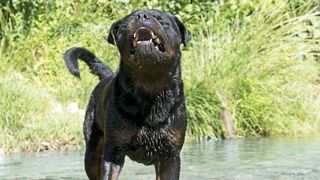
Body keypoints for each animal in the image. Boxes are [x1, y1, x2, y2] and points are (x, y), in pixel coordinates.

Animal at [63, 9, 191, 179]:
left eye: (160, 19)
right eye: (127, 22)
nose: (142, 16)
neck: (150, 87)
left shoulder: (170, 154)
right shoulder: (113, 151)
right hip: (91, 152)